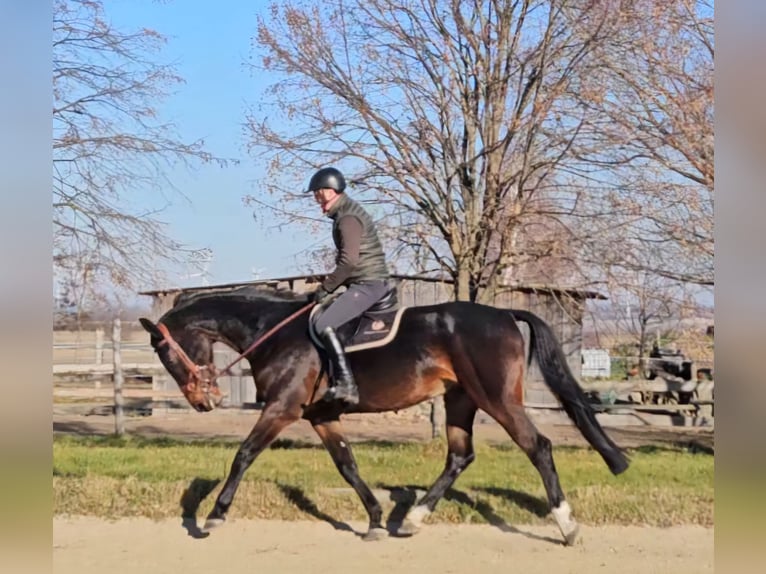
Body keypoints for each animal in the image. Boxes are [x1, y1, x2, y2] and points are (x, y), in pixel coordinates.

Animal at [140, 286, 632, 548]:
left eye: (165, 353)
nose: (202, 402)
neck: (273, 331)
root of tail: (503, 313)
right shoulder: (321, 416)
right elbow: (347, 465)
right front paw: (376, 519)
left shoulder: (283, 408)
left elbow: (243, 454)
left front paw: (213, 517)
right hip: (460, 401)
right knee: (459, 457)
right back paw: (412, 519)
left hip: (496, 399)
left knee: (538, 447)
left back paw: (567, 526)